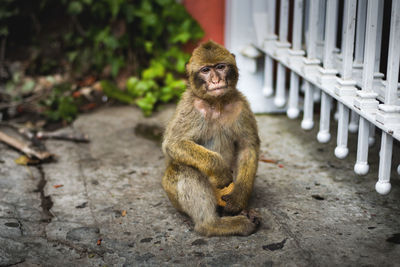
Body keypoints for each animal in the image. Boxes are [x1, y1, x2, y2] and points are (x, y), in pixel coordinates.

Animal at [162, 40, 260, 238]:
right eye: (206, 70)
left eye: (220, 67)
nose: (216, 81)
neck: (217, 103)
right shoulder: (190, 107)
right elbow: (173, 143)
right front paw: (218, 168)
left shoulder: (241, 106)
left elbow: (248, 147)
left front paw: (239, 198)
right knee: (183, 168)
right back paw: (212, 225)